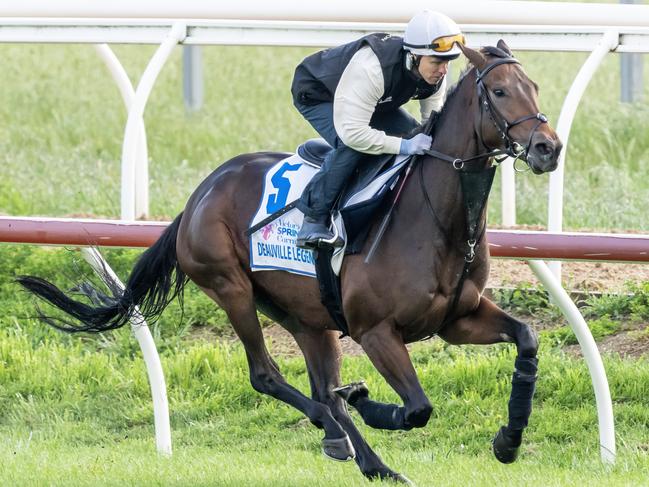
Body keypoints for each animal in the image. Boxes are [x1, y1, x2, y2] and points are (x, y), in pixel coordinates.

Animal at [16, 42, 560, 484]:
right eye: (500, 91)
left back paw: (366, 458)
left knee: (320, 384)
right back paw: (335, 429)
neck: (434, 218)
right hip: (231, 287)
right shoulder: (376, 331)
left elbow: (526, 339)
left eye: (534, 86)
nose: (548, 148)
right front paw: (367, 402)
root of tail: (199, 196)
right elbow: (417, 408)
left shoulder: (456, 319)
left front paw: (508, 441)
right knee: (269, 376)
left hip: (306, 316)